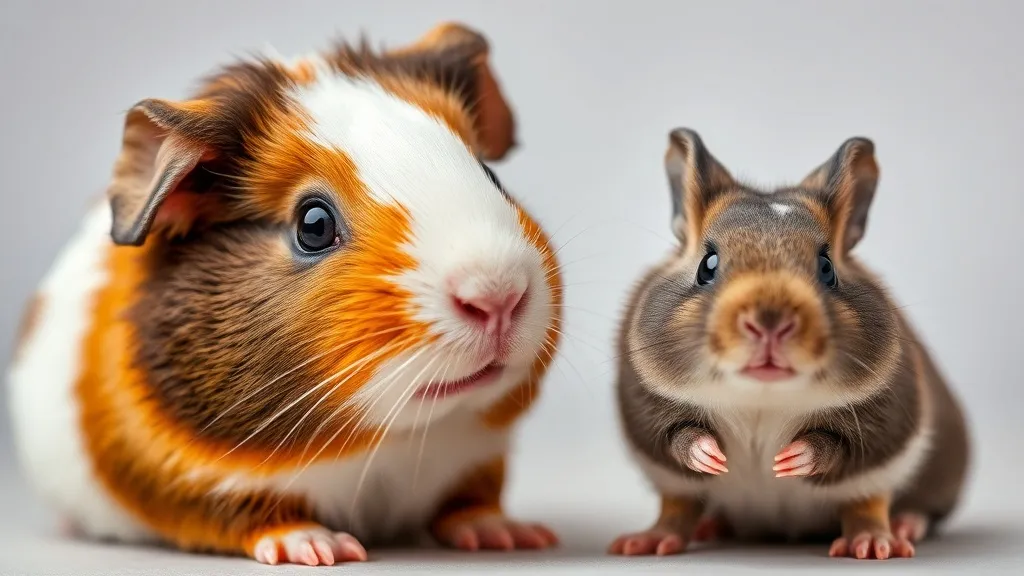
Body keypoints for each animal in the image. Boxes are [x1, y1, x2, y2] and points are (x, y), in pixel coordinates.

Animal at [6, 22, 562, 566]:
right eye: (313, 225)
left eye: (489, 174)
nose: (498, 295)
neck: (391, 446)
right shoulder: (187, 480)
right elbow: (254, 516)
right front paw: (322, 548)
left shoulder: (479, 457)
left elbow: (470, 502)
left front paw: (510, 535)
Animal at [608, 129, 969, 560]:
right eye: (707, 266)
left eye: (827, 269)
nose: (770, 324)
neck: (761, 399)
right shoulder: (652, 422)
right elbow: (681, 440)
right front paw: (711, 457)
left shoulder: (879, 434)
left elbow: (834, 448)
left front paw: (788, 461)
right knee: (678, 510)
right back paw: (653, 540)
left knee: (875, 508)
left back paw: (882, 539)